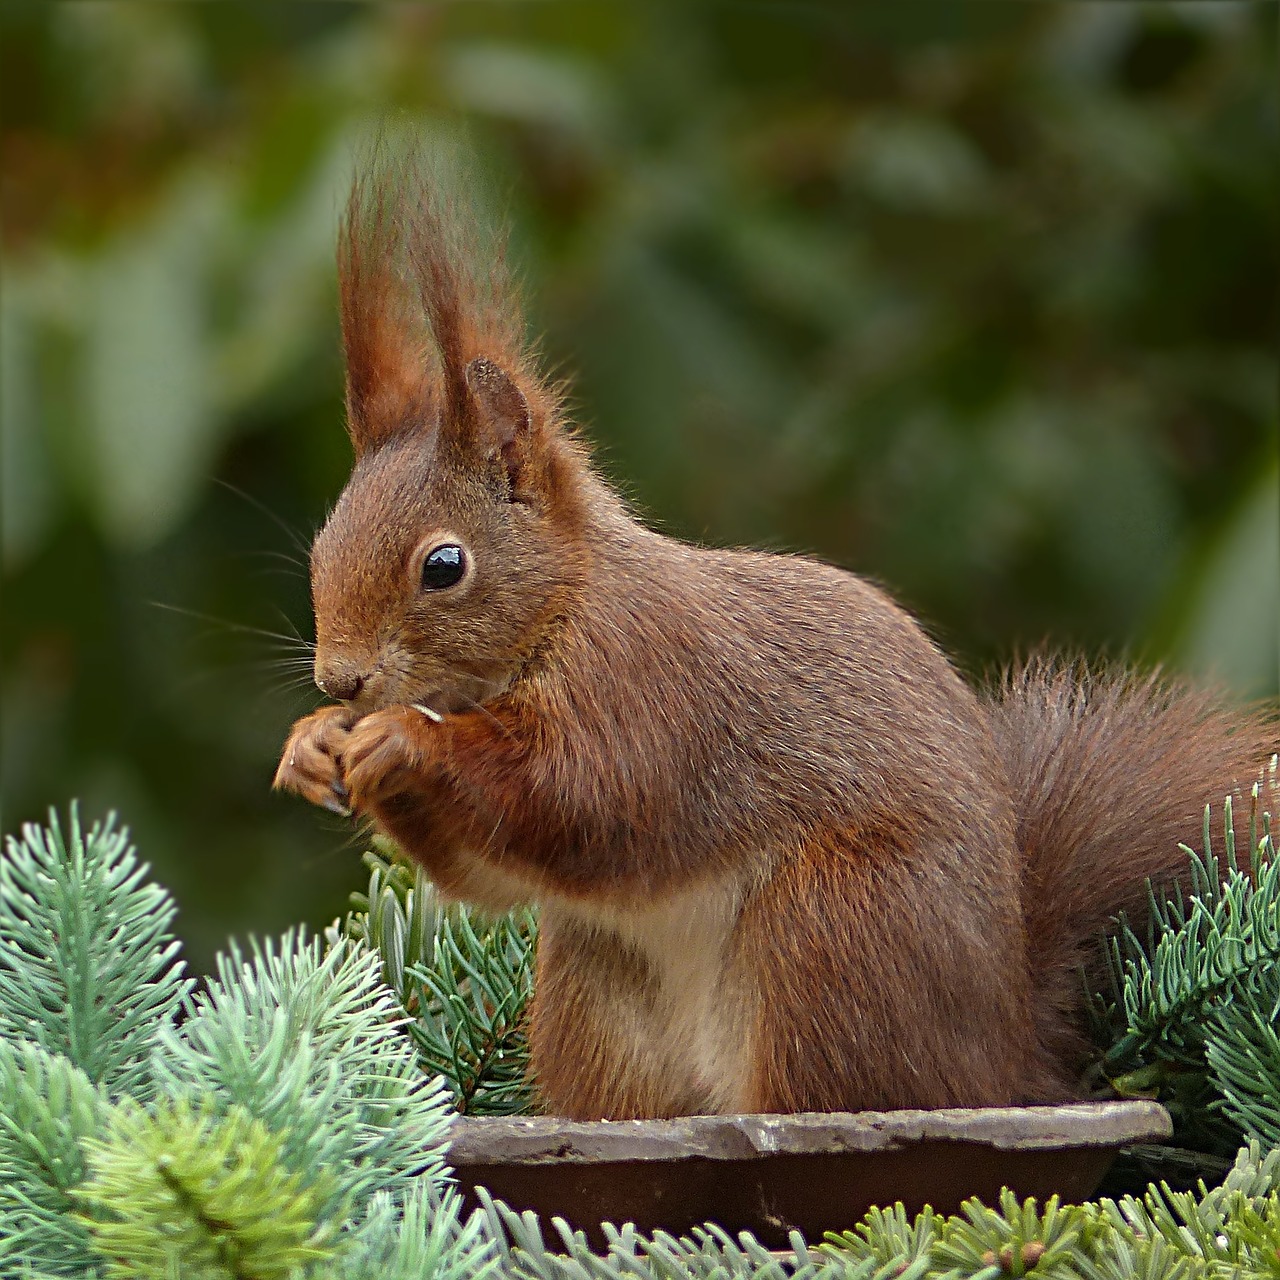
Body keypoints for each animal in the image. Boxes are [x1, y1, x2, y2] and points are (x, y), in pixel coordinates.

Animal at [272, 160, 1280, 1121]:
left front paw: (406, 739)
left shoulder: (649, 681)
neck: (564, 608)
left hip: (832, 932)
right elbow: (488, 880)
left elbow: (582, 793)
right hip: (598, 992)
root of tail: (1001, 1059)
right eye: (321, 547)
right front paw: (313, 744)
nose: (342, 678)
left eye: (444, 565)